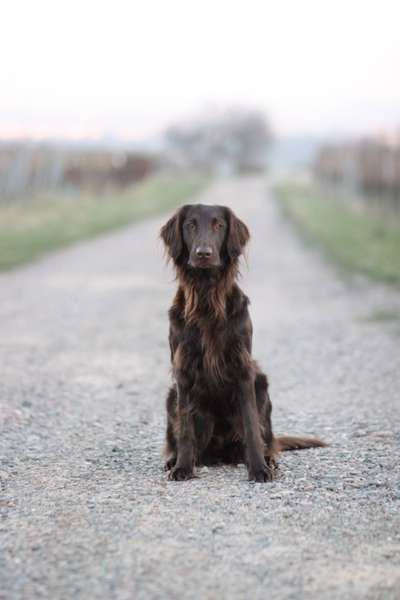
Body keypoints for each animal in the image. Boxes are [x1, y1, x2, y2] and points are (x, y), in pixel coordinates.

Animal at [159, 204, 324, 480]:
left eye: (219, 225)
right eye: (190, 225)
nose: (203, 254)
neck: (207, 297)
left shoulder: (243, 369)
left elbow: (250, 426)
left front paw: (258, 468)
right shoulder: (183, 371)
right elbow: (185, 428)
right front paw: (182, 467)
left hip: (262, 385)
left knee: (265, 437)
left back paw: (268, 459)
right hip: (171, 396)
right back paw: (175, 460)